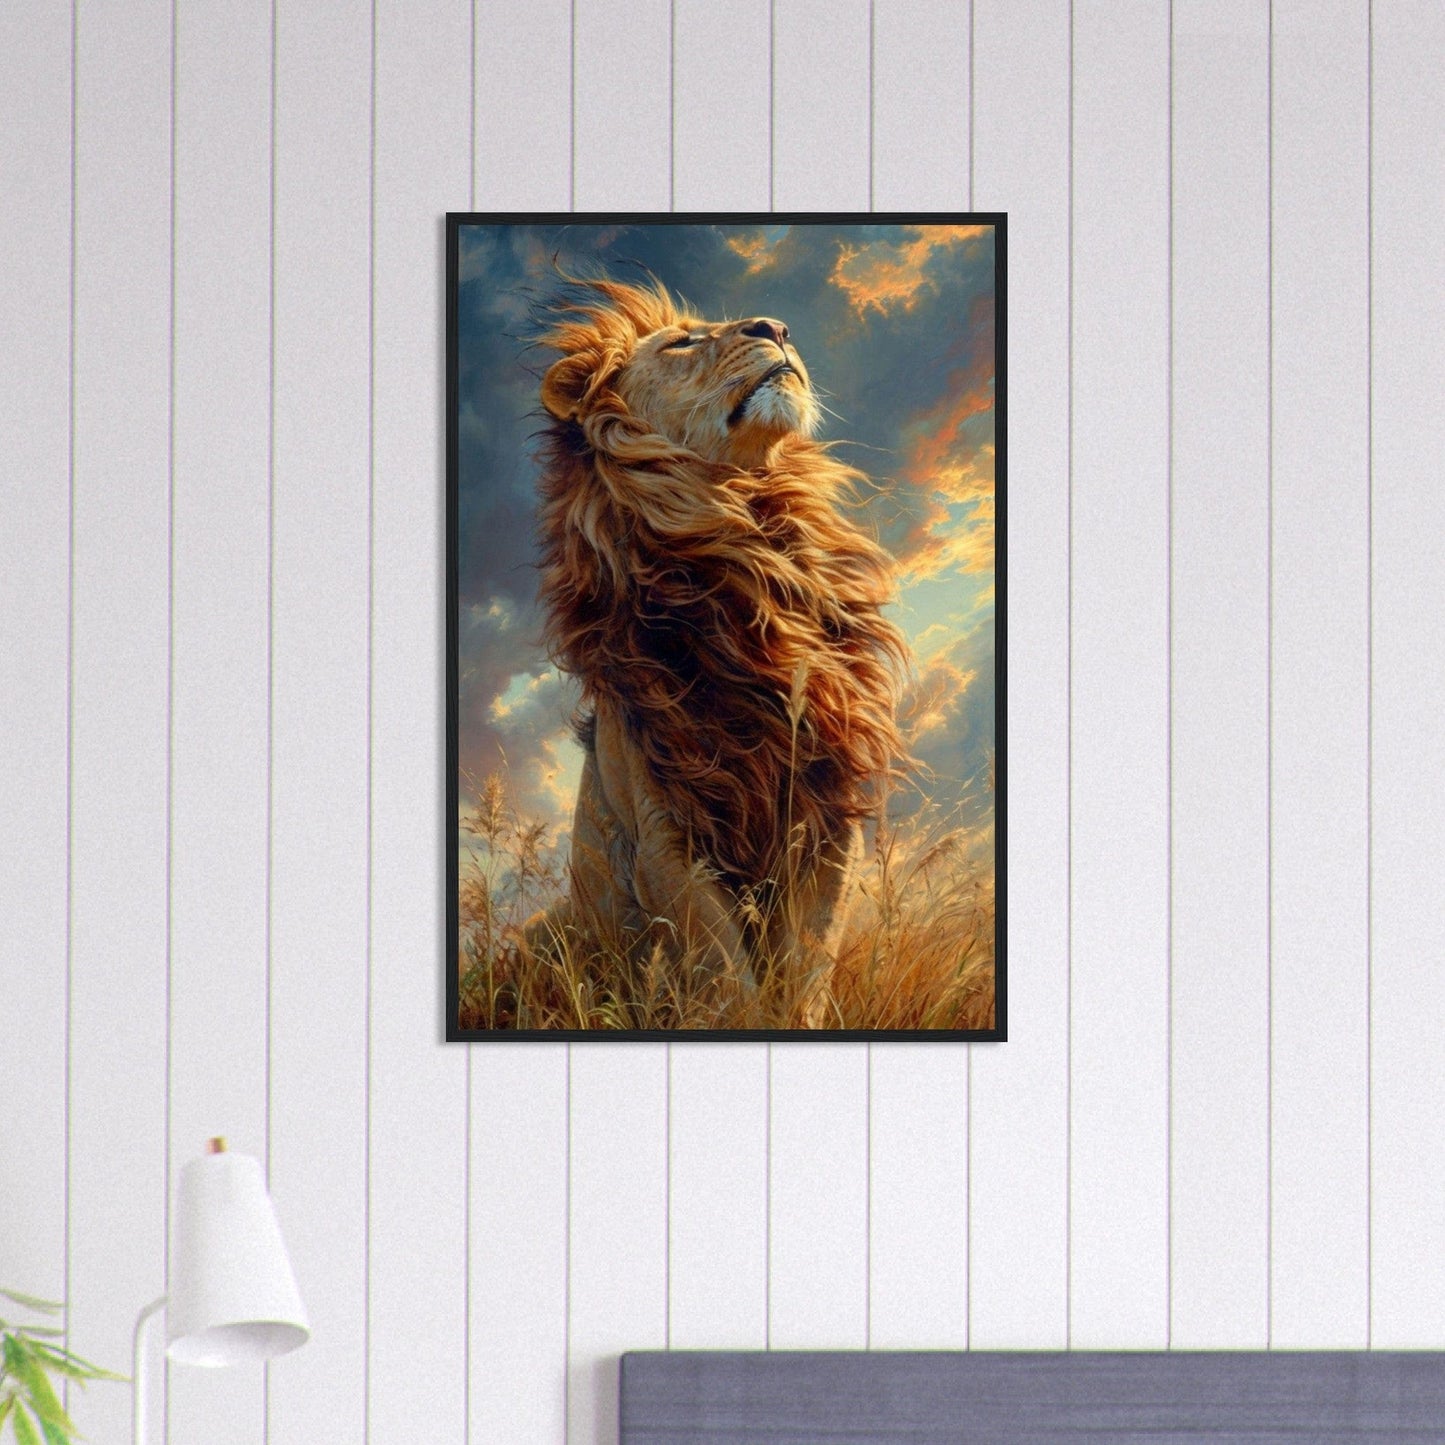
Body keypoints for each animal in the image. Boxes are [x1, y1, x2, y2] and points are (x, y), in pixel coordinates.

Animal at [530, 273, 909, 997]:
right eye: (680, 343)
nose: (777, 327)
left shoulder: (829, 809)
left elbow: (803, 972)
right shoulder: (664, 837)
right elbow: (729, 981)